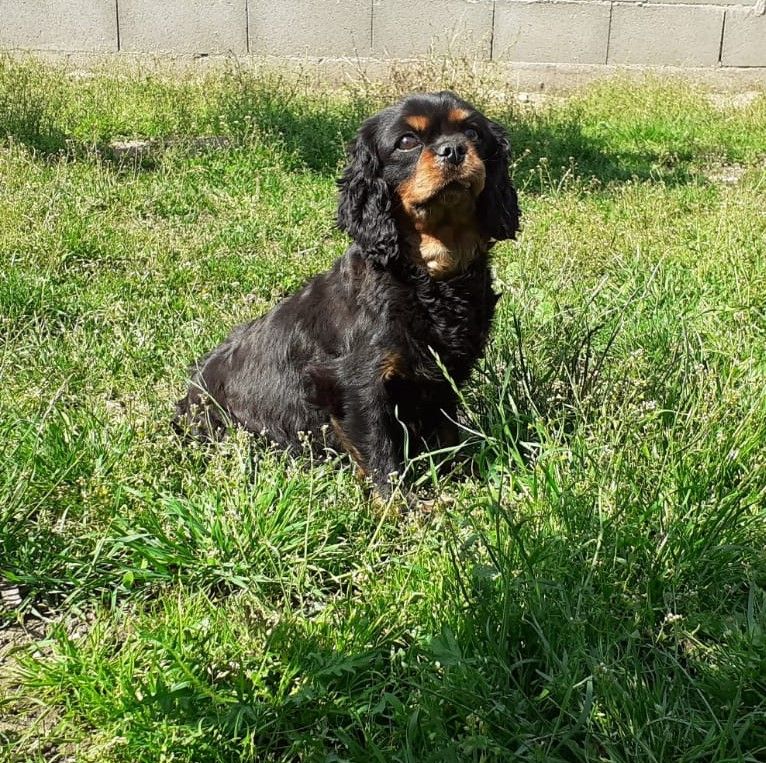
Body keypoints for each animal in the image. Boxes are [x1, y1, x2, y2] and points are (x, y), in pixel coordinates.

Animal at [174, 91, 520, 502]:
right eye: (407, 141)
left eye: (472, 132)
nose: (453, 149)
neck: (430, 275)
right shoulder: (356, 384)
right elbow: (379, 454)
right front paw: (399, 506)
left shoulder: (445, 378)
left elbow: (446, 434)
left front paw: (457, 479)